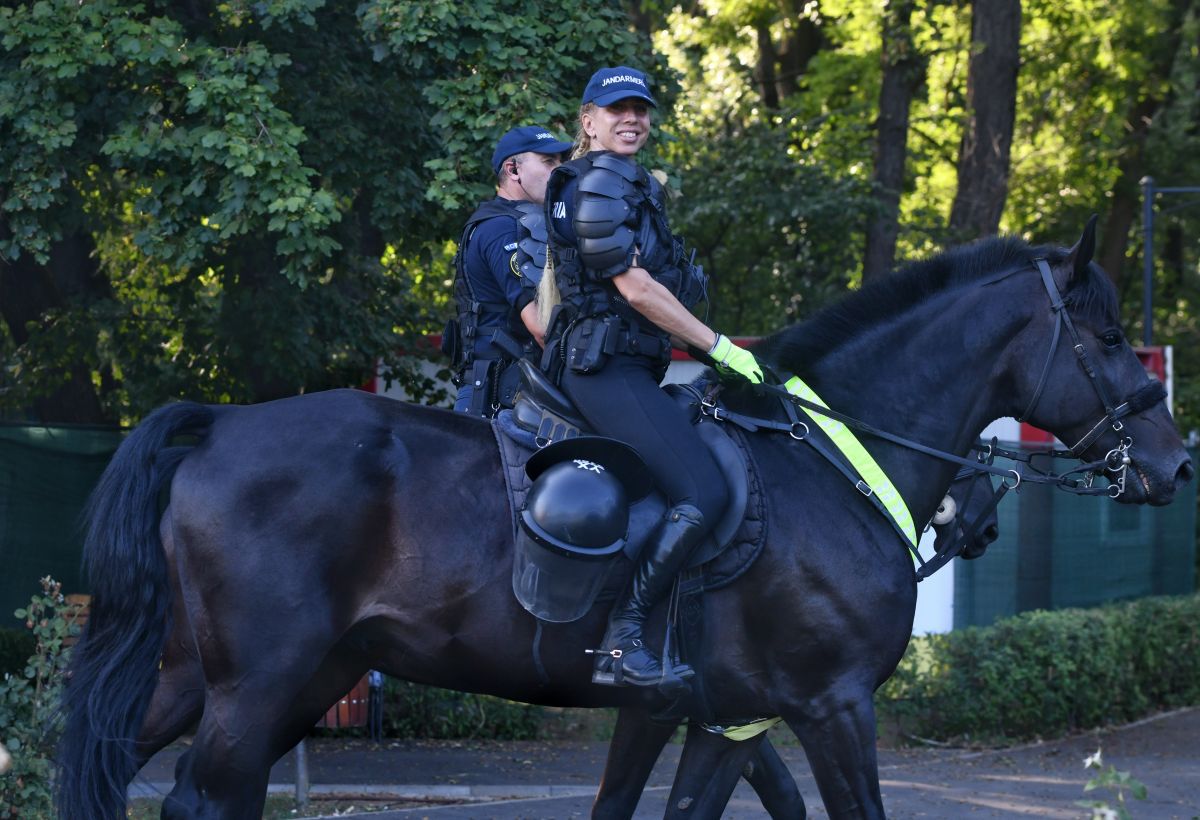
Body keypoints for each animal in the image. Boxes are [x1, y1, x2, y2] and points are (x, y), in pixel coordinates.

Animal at [56, 225, 1190, 820]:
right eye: (1109, 337)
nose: (1176, 463)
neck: (830, 463)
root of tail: (216, 425)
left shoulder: (723, 718)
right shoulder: (831, 706)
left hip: (220, 675)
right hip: (260, 685)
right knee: (198, 801)